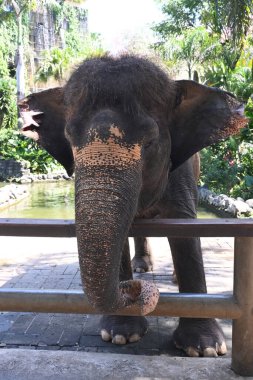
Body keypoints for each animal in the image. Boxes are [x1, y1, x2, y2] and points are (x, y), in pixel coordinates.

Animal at [18, 53, 247, 356]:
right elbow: (120, 236)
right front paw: (121, 335)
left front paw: (205, 348)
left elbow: (185, 230)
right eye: (69, 140)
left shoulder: (182, 172)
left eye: (149, 142)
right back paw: (141, 268)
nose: (136, 290)